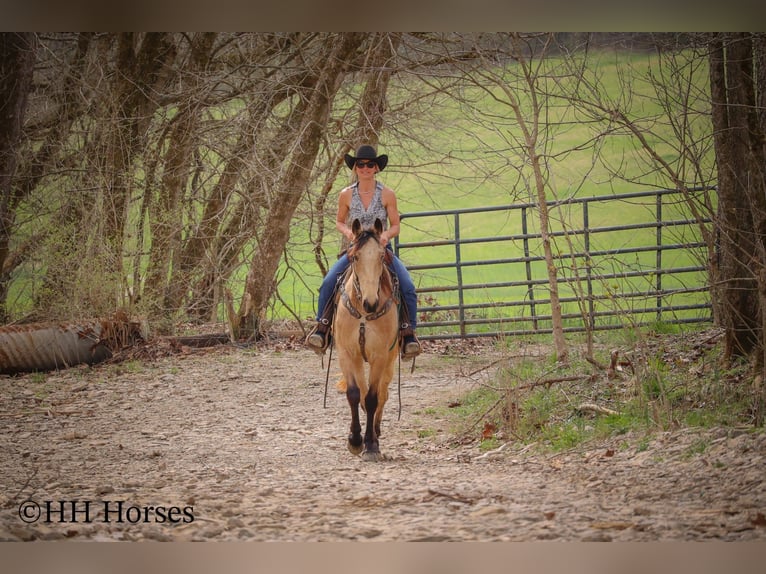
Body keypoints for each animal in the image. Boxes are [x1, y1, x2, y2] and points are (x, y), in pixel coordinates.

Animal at [333, 217, 400, 461]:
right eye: (355, 257)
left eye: (381, 256)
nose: (371, 302)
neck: (363, 312)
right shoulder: (346, 354)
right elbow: (354, 394)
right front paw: (354, 440)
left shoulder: (380, 356)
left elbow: (373, 398)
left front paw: (371, 445)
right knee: (363, 391)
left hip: (390, 360)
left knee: (383, 393)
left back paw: (376, 432)